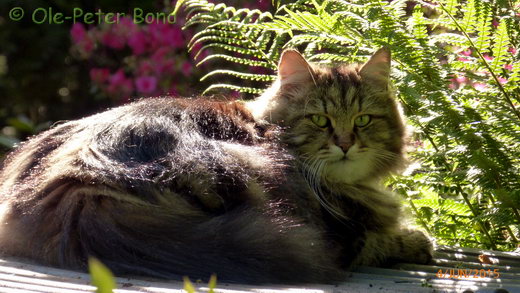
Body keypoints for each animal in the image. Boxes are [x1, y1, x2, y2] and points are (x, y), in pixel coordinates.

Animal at [0, 48, 430, 282]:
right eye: (320, 120)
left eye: (363, 120)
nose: (345, 144)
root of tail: (79, 189)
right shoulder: (344, 235)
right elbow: (384, 239)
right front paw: (417, 240)